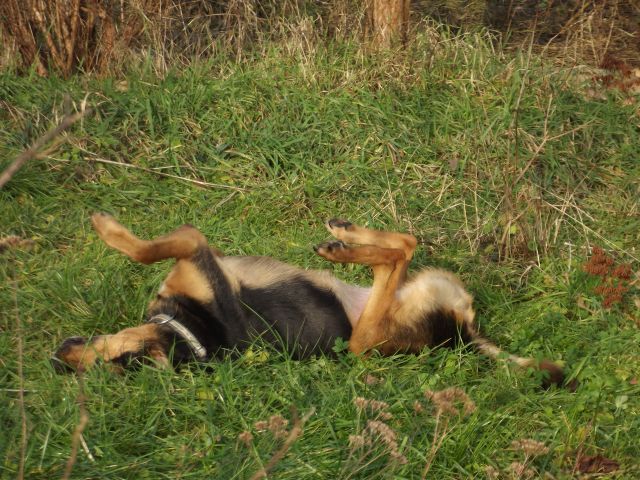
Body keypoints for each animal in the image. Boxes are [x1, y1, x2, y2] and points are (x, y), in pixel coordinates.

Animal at [52, 213, 568, 387]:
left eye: (116, 362)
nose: (57, 361)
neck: (192, 335)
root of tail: (461, 335)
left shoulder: (198, 250)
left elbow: (147, 248)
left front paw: (106, 229)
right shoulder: (198, 253)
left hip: (372, 331)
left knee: (402, 248)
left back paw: (342, 240)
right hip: (376, 327)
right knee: (403, 247)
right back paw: (344, 242)